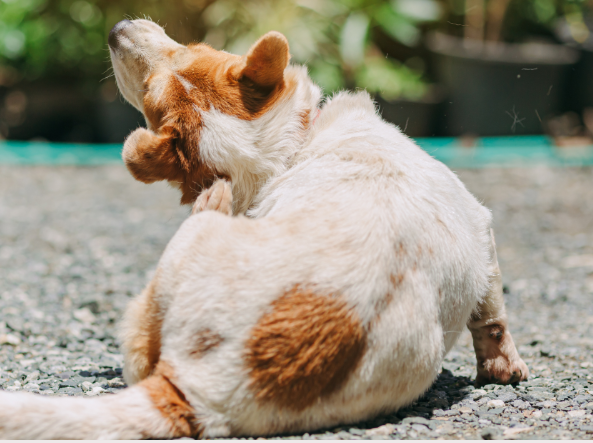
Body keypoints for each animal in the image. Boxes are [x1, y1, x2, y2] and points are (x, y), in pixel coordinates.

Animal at [0, 19, 528, 439]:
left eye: (191, 47)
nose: (116, 28)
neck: (284, 154)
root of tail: (197, 390)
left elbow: (492, 316)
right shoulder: (481, 227)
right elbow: (492, 313)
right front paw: (502, 367)